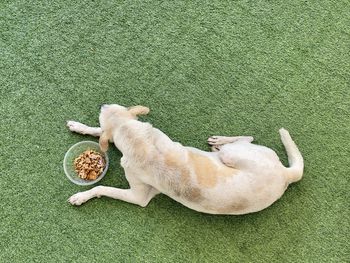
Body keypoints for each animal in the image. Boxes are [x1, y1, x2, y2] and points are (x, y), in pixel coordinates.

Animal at [67, 104, 304, 216]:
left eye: (108, 108)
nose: (102, 104)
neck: (138, 141)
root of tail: (286, 174)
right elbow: (100, 133)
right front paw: (79, 126)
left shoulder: (138, 197)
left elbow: (103, 188)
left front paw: (81, 196)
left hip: (233, 153)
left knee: (246, 138)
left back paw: (219, 142)